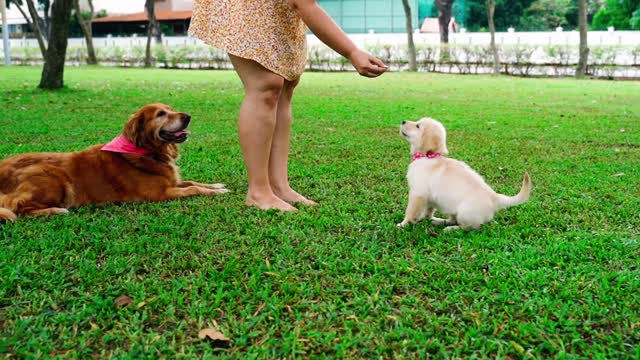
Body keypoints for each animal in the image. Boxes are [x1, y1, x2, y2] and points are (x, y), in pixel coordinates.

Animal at [0, 103, 229, 222]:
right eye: (160, 114)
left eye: (170, 109)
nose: (188, 116)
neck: (147, 151)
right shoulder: (160, 194)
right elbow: (193, 189)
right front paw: (215, 192)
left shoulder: (172, 182)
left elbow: (193, 182)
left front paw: (217, 185)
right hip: (53, 177)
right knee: (18, 207)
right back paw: (55, 210)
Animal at [398, 118, 532, 231]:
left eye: (418, 126)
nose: (403, 121)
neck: (428, 156)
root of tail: (495, 198)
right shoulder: (428, 197)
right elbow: (429, 210)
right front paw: (428, 218)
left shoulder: (417, 194)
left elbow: (410, 212)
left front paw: (403, 225)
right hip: (450, 207)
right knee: (453, 219)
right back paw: (440, 221)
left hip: (464, 213)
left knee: (469, 227)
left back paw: (451, 229)